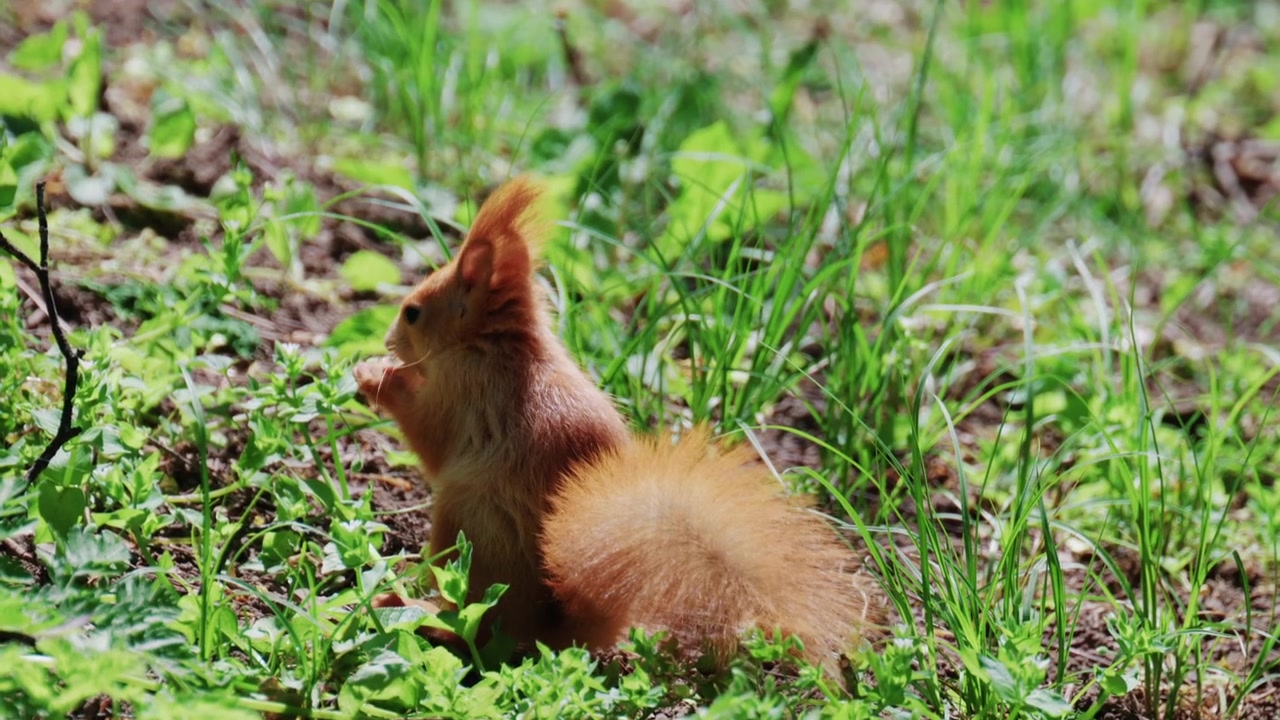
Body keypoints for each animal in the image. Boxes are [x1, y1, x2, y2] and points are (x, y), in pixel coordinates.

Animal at [353, 178, 880, 677]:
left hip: (465, 524)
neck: (498, 345)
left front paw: (379, 376)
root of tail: (551, 629)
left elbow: (432, 439)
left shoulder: (466, 393)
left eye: (413, 312)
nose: (389, 340)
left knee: (473, 627)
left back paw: (408, 606)